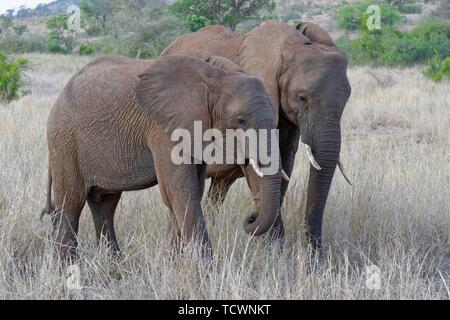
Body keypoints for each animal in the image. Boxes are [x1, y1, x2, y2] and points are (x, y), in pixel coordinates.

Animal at [41, 53, 282, 262]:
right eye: (241, 120)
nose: (250, 217)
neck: (215, 76)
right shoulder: (163, 130)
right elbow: (180, 191)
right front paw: (206, 270)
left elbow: (187, 191)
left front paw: (172, 262)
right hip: (64, 142)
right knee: (71, 204)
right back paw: (69, 268)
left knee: (104, 205)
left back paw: (114, 264)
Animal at [161, 21, 352, 249]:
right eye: (302, 97)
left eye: (347, 99)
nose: (315, 252)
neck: (290, 46)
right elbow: (260, 170)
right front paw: (277, 250)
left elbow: (284, 166)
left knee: (218, 189)